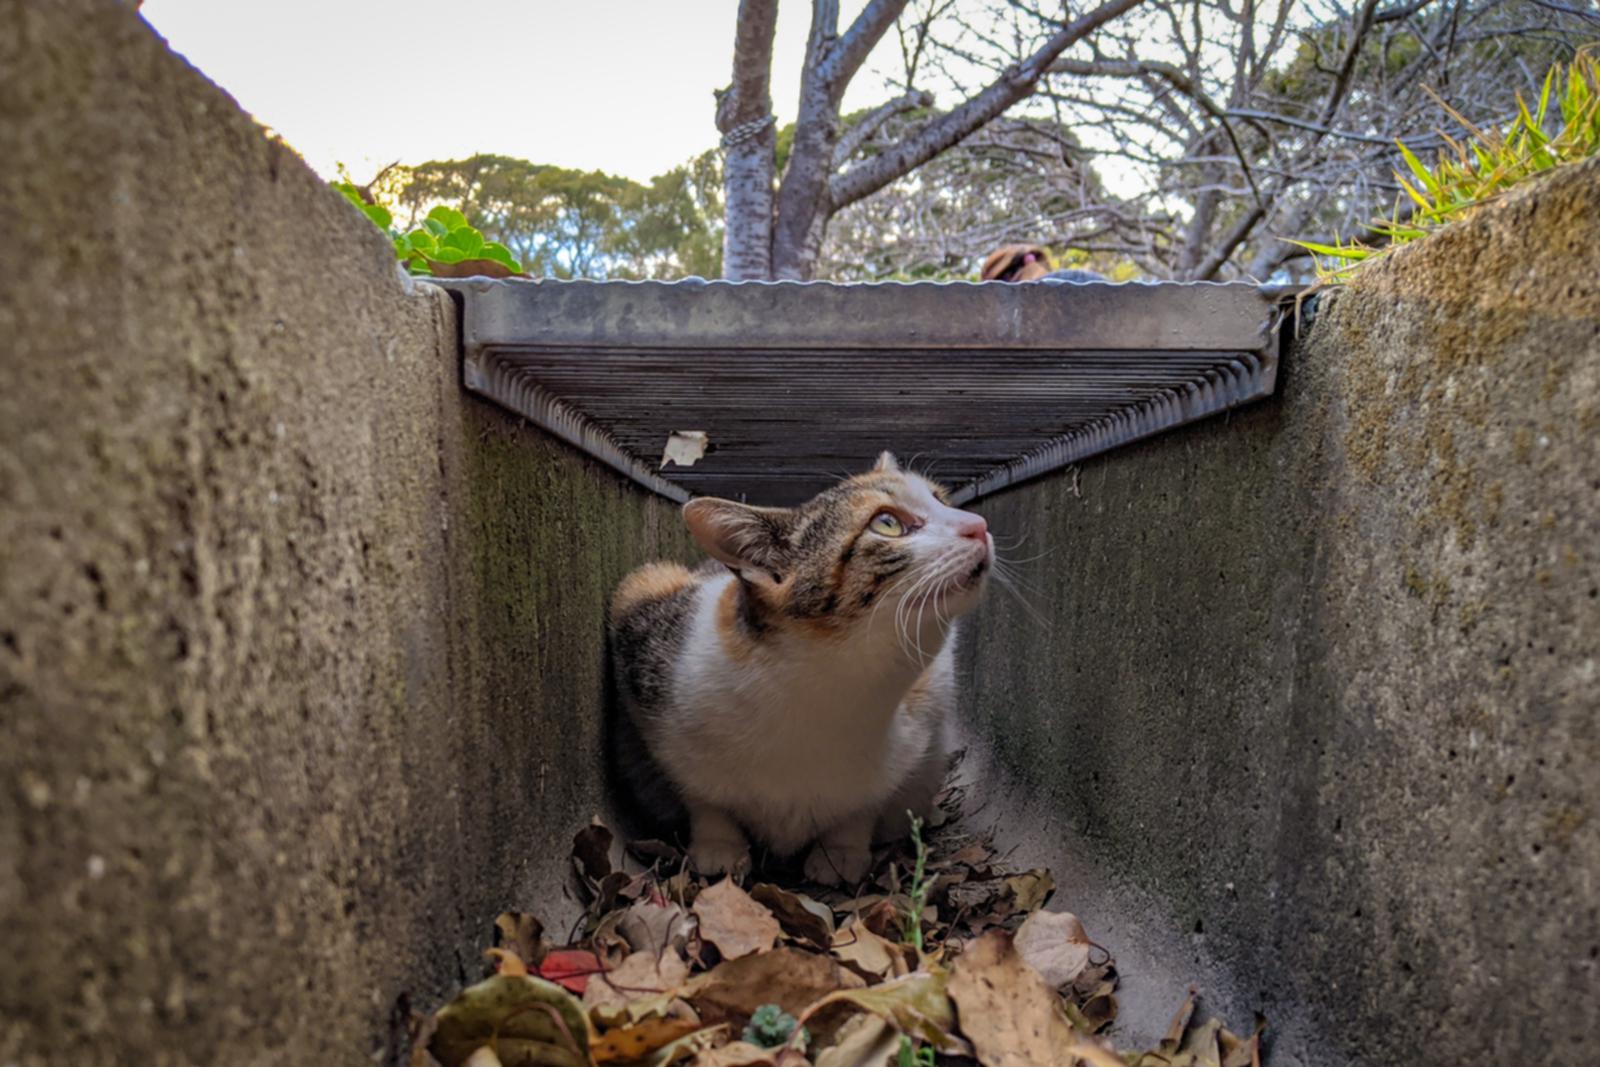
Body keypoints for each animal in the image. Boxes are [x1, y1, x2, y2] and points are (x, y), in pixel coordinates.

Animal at [604, 451, 992, 883]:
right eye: (887, 523)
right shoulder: (642, 608)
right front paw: (719, 846)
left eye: (940, 498)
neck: (822, 690)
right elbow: (703, 797)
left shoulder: (922, 711)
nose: (979, 525)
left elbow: (867, 801)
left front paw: (840, 851)